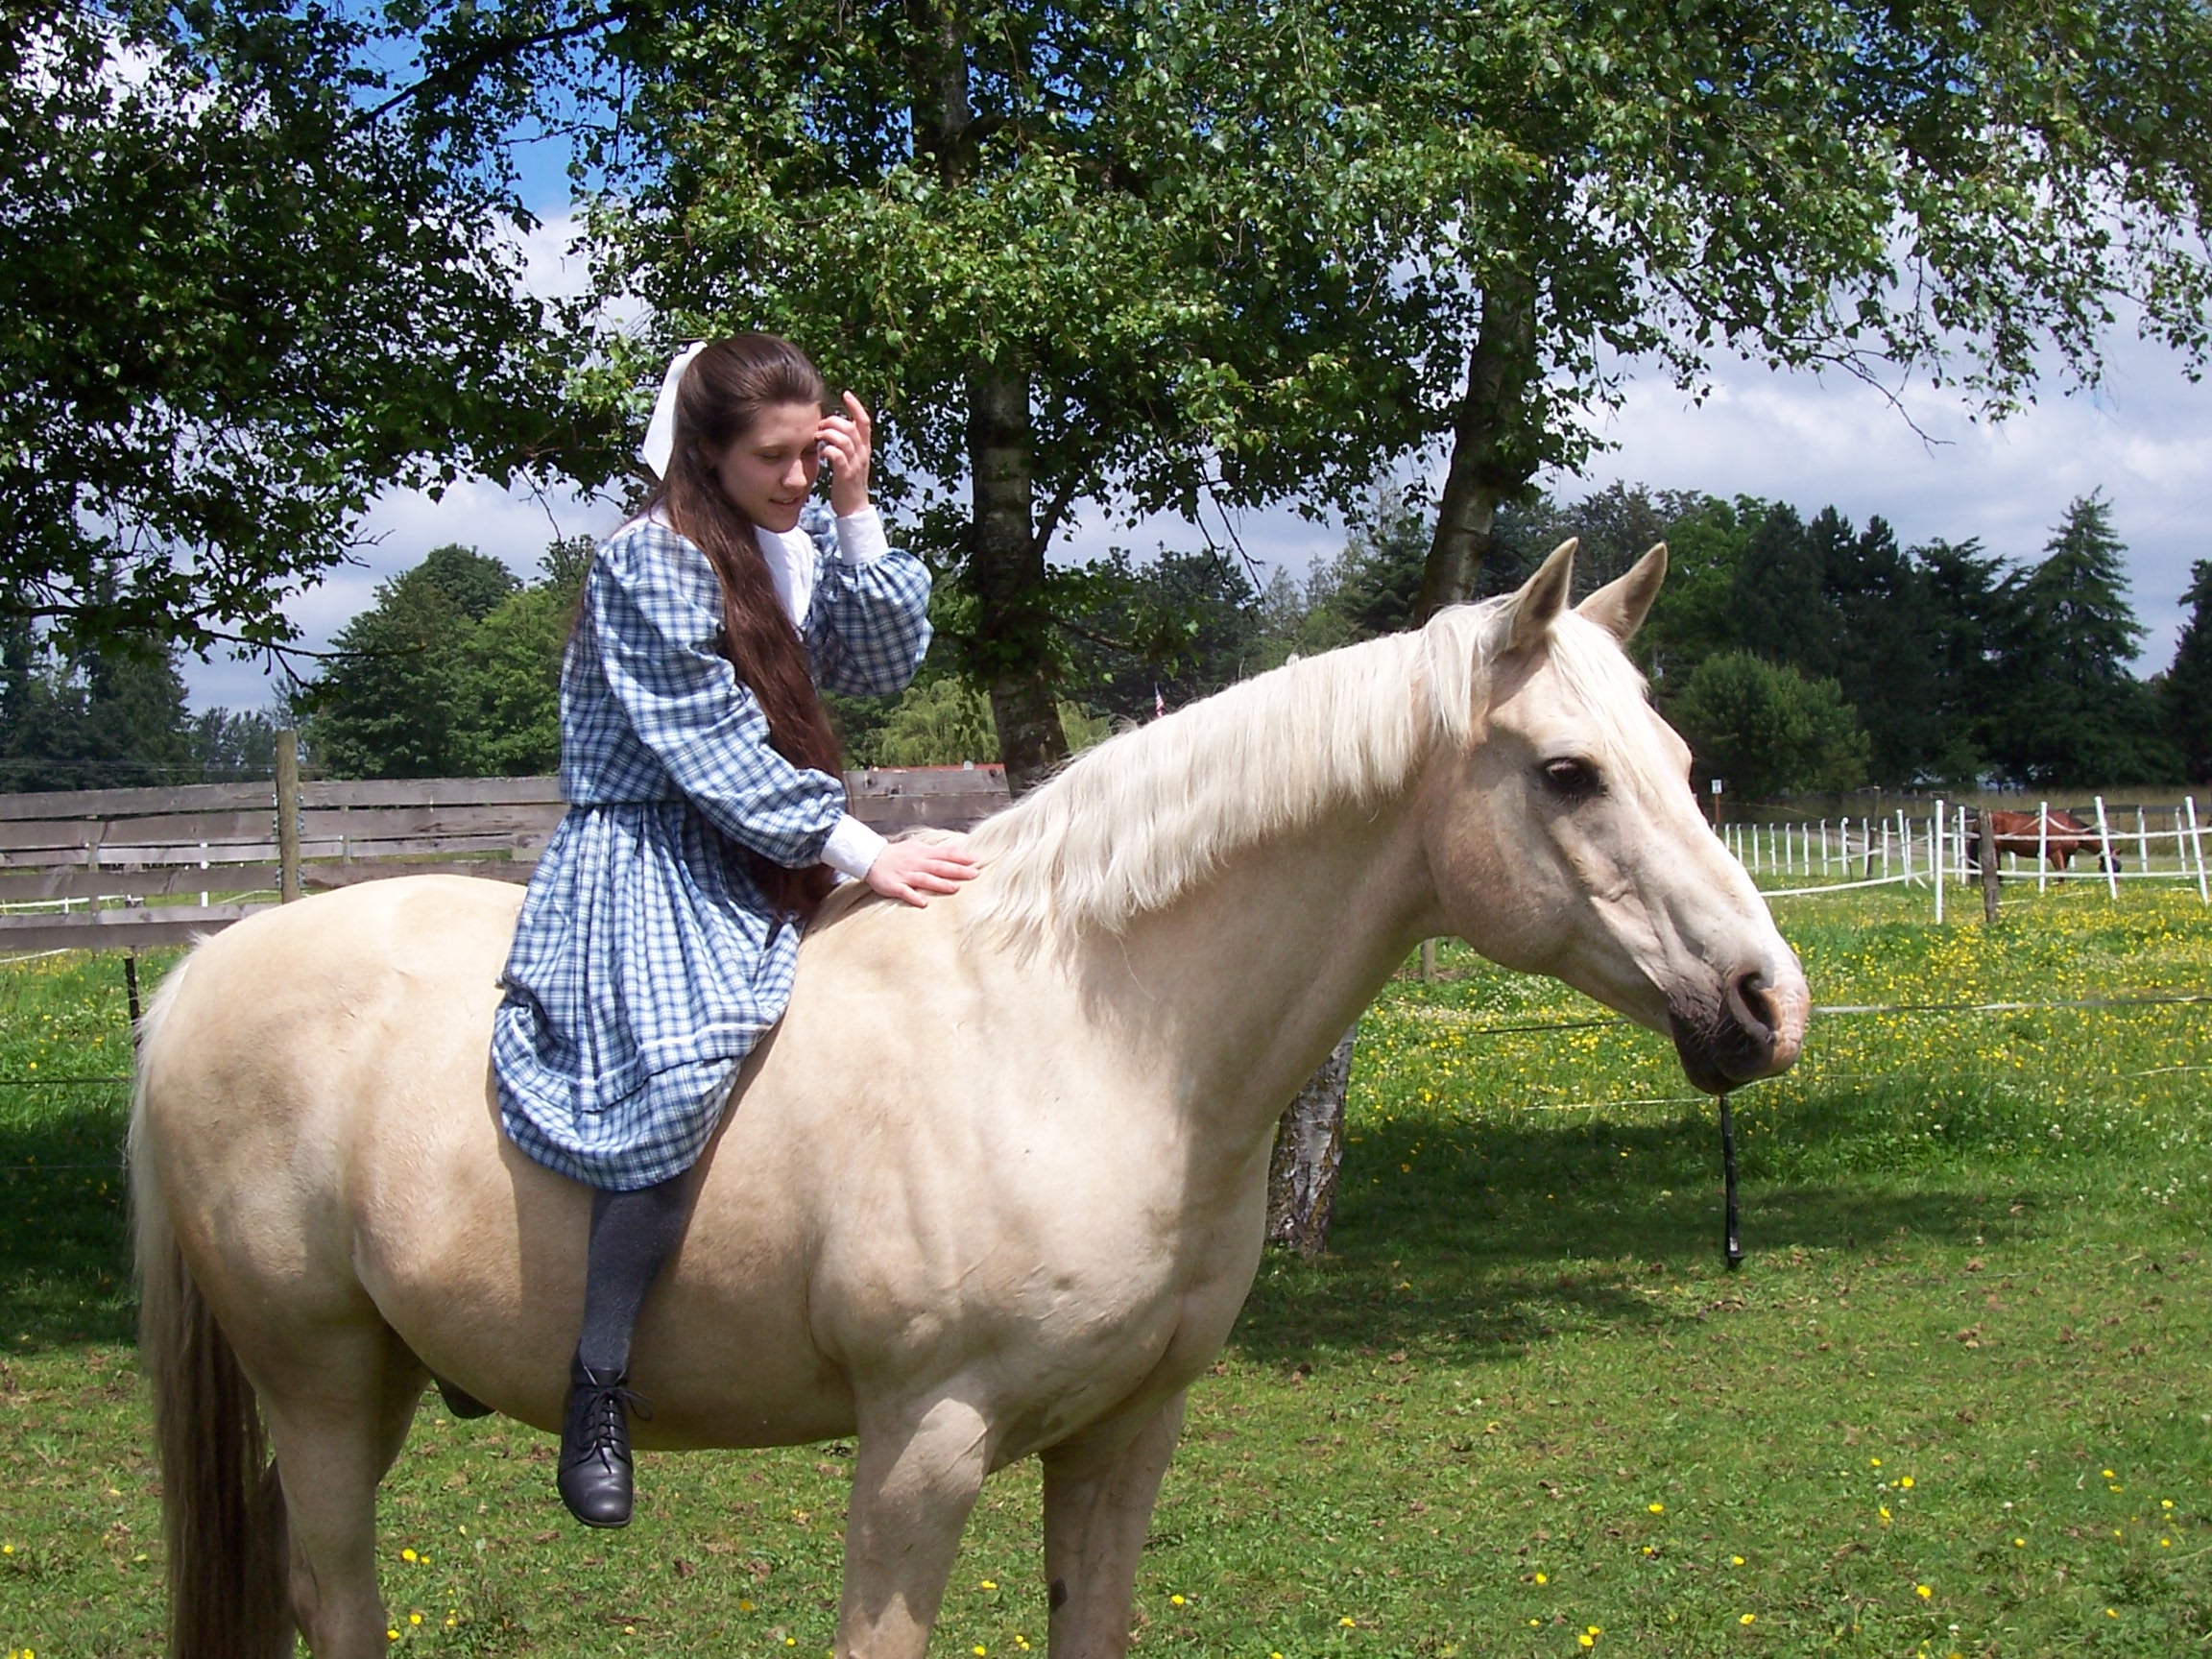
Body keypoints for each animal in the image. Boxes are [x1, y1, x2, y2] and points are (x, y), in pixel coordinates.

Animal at [129, 539, 1808, 1659]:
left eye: (1680, 757)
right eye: (1571, 774)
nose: (1765, 1005)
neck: (1090, 1036)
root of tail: (202, 976)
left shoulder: (1122, 1438)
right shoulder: (918, 1450)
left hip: (374, 1380)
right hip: (322, 1378)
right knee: (332, 1592)